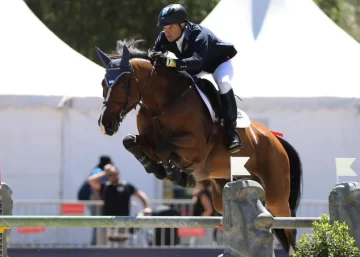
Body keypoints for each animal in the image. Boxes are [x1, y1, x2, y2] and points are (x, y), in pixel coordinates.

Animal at [95, 39, 300, 253]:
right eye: (103, 83)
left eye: (123, 83)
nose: (105, 124)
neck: (163, 104)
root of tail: (274, 138)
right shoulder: (147, 139)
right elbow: (130, 141)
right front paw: (158, 168)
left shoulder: (197, 147)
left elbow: (164, 147)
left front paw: (179, 175)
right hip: (223, 192)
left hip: (276, 194)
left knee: (289, 226)